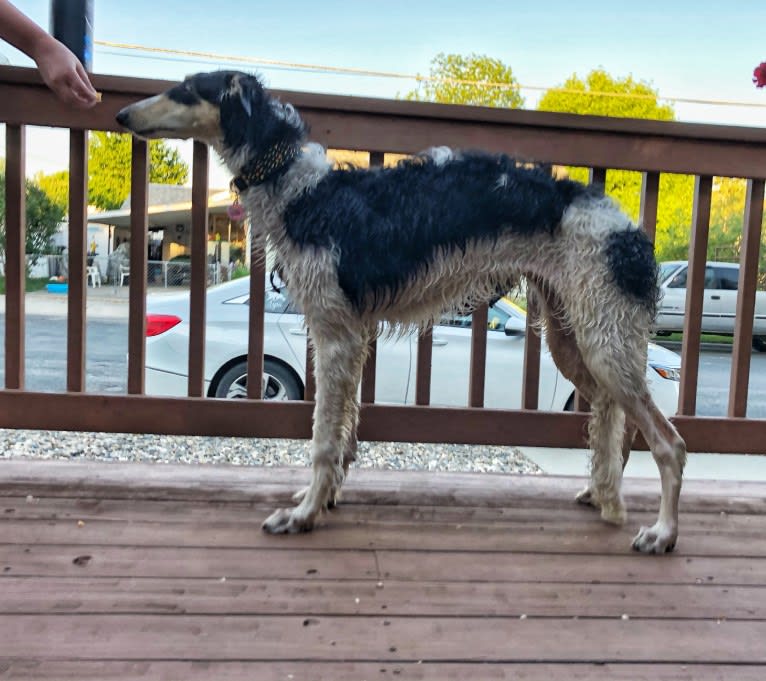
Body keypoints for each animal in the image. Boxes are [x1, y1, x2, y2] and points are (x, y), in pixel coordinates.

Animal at [118, 70, 688, 552]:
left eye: (186, 89)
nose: (122, 115)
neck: (303, 192)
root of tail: (629, 231)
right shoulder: (350, 338)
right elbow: (344, 434)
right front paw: (325, 499)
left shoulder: (334, 336)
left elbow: (323, 440)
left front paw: (302, 515)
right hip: (573, 339)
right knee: (610, 415)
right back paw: (602, 494)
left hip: (602, 344)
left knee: (670, 444)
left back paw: (661, 533)